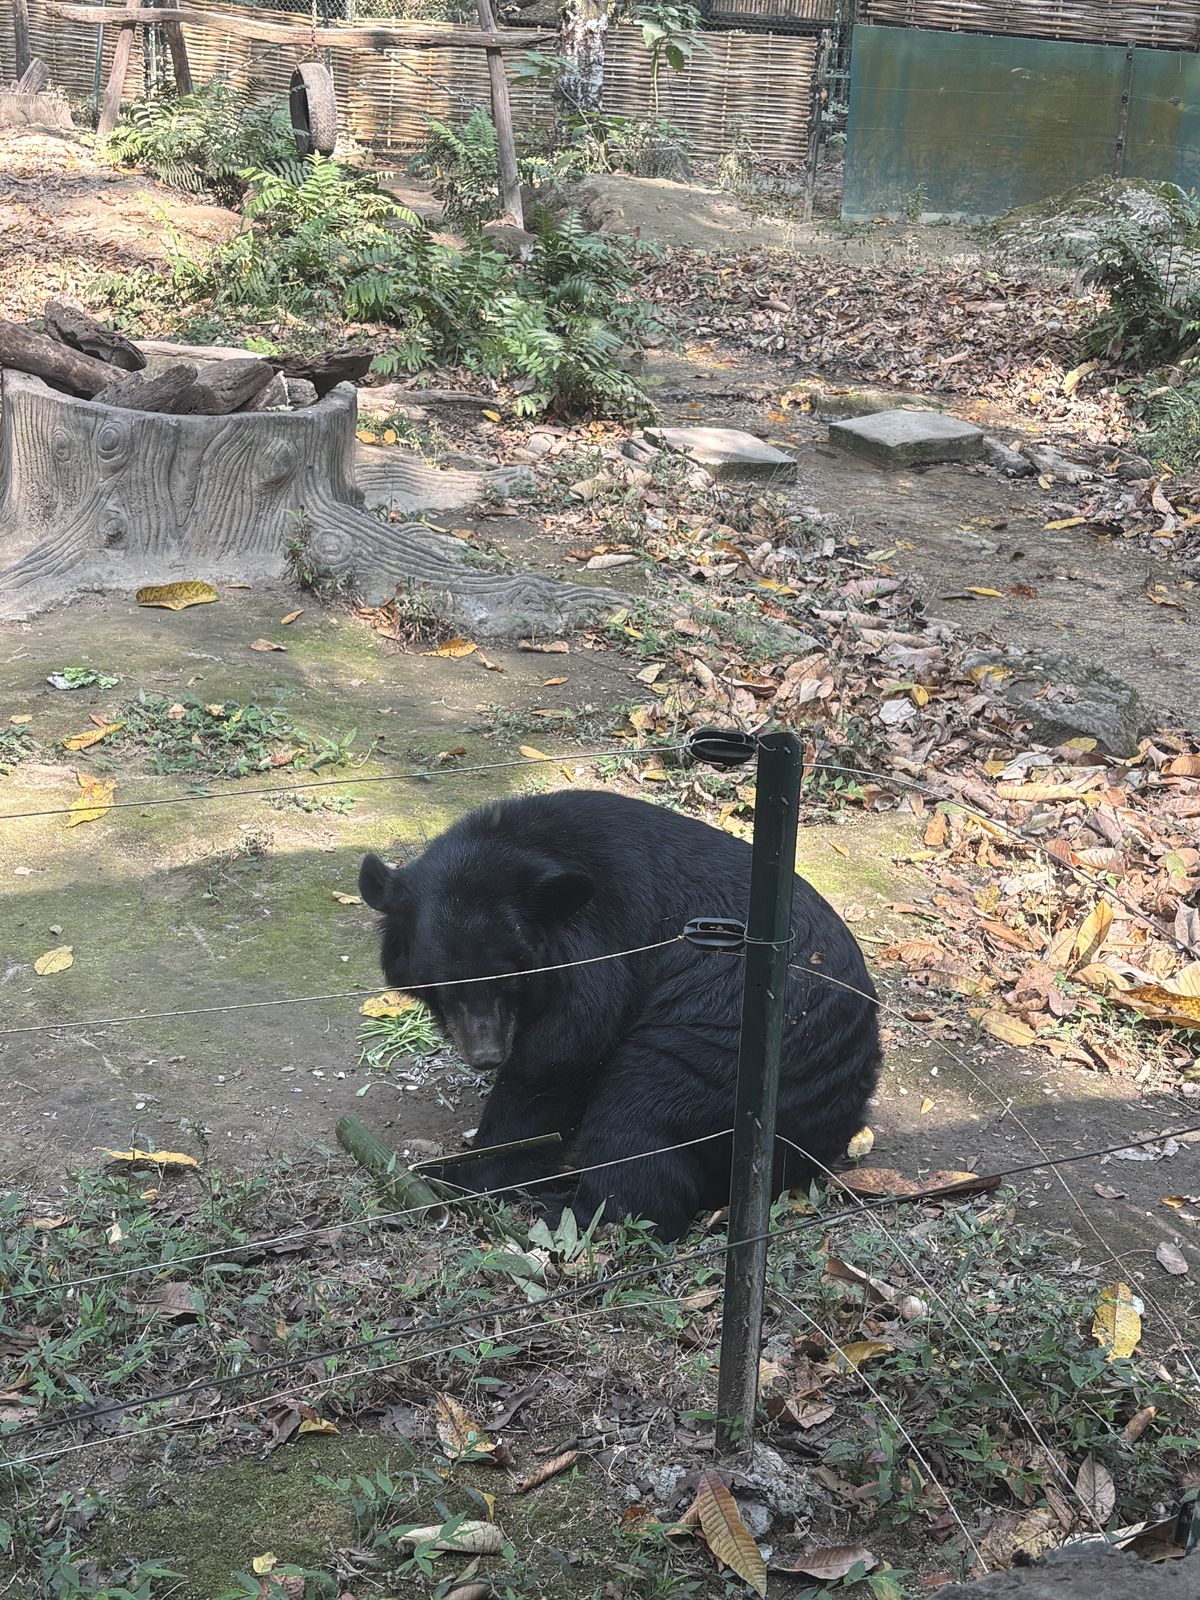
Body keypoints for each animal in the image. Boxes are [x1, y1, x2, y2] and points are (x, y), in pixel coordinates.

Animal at [359, 789, 881, 1240]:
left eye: (511, 977)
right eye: (444, 983)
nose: (486, 1055)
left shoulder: (600, 946)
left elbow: (562, 1052)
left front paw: (460, 1172)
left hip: (726, 1044)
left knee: (641, 1112)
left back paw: (574, 1209)